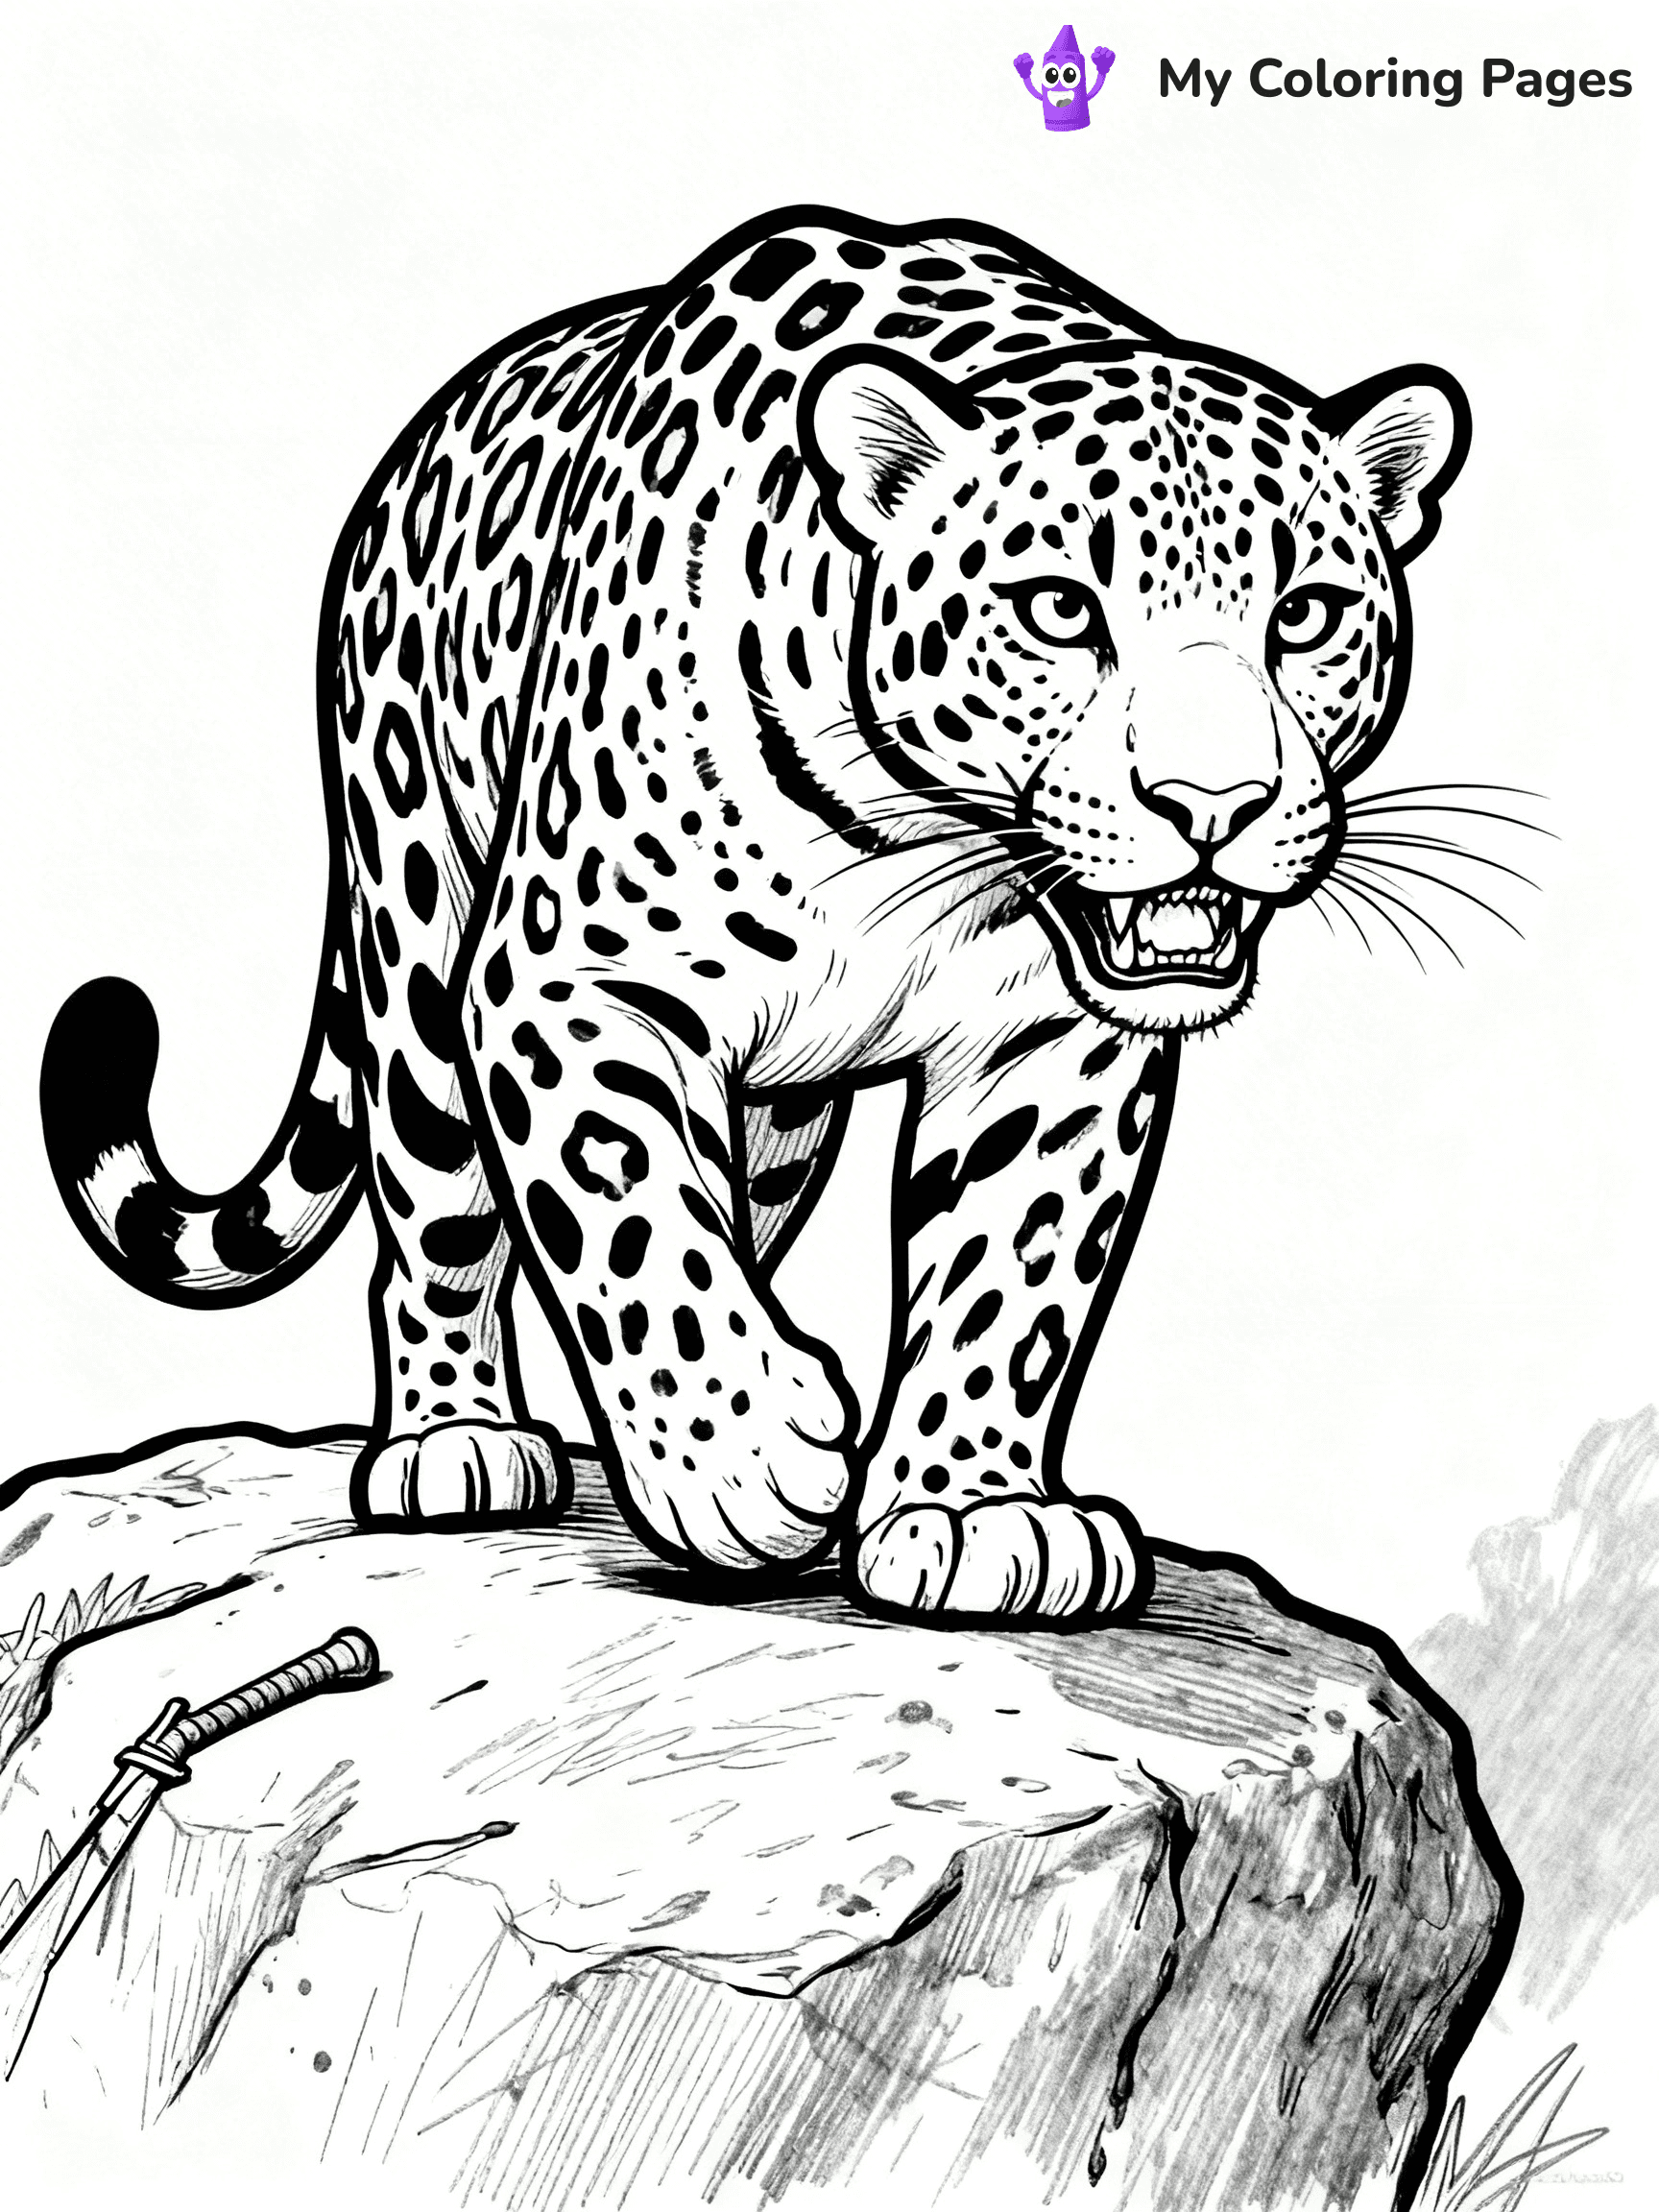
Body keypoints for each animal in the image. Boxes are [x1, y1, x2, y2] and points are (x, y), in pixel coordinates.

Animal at [41, 207, 1469, 1628]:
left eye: (1308, 614)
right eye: (1061, 609)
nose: (1213, 803)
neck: (914, 841)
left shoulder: (1050, 1047)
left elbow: (1006, 1273)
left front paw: (970, 1511)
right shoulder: (568, 984)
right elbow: (629, 1216)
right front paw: (740, 1461)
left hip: (776, 1108)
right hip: (414, 932)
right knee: (437, 1211)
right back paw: (460, 1442)